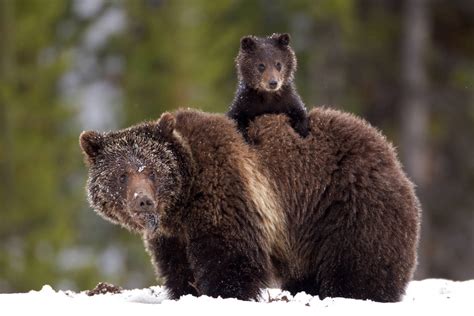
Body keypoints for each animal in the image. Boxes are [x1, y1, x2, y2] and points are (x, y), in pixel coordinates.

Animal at [79, 108, 420, 302]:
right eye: (122, 174)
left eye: (151, 170)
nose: (144, 201)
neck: (181, 203)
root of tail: (387, 149)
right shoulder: (172, 234)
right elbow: (177, 267)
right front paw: (185, 292)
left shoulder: (226, 191)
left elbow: (229, 256)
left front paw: (223, 293)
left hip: (347, 202)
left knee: (362, 260)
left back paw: (359, 294)